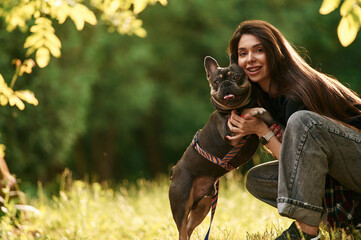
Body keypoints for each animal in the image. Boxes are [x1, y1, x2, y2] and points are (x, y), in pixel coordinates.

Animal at [169, 55, 272, 239]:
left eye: (236, 77)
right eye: (216, 81)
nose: (225, 84)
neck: (232, 108)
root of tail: (174, 171)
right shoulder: (230, 132)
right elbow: (244, 111)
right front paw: (255, 110)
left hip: (202, 207)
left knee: (188, 228)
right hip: (181, 204)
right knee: (182, 230)